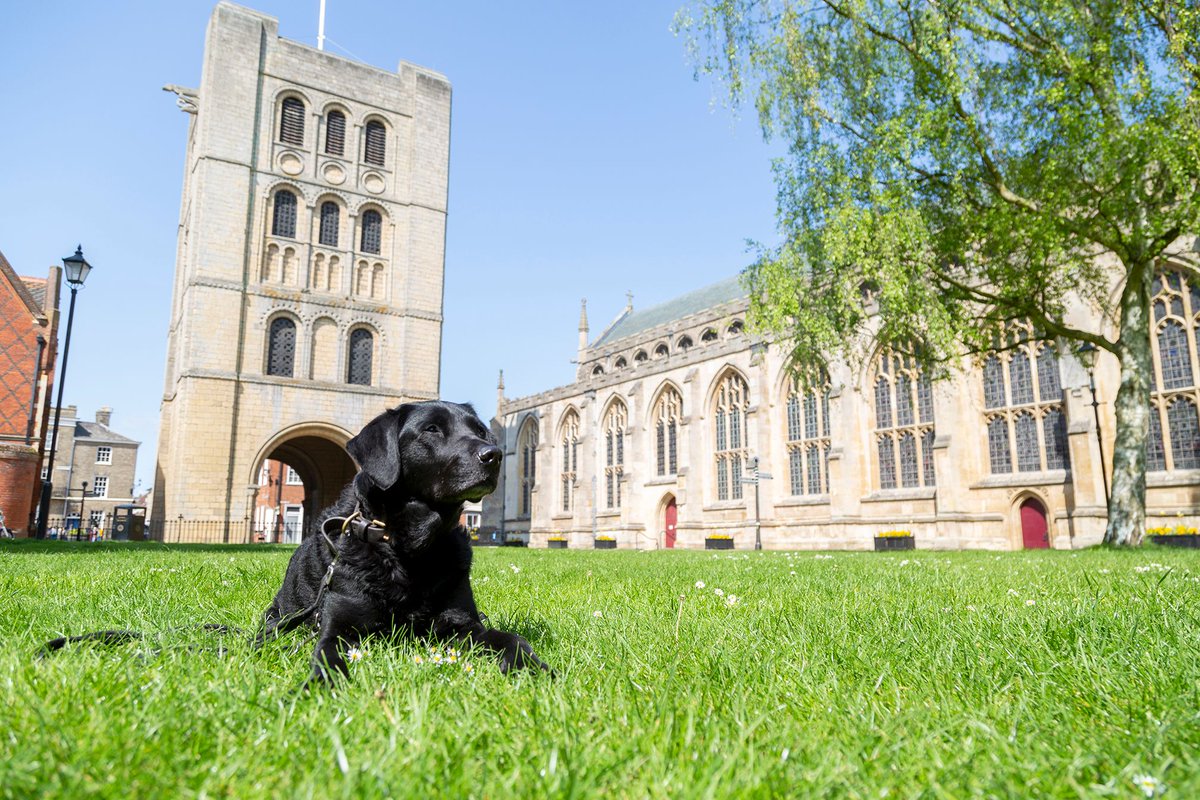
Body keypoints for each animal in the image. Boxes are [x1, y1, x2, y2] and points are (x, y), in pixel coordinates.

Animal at [260, 402, 549, 686]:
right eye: (432, 429)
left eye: (479, 431)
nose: (494, 455)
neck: (411, 546)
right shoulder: (339, 627)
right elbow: (327, 657)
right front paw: (319, 686)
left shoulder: (464, 625)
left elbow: (512, 639)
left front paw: (535, 669)